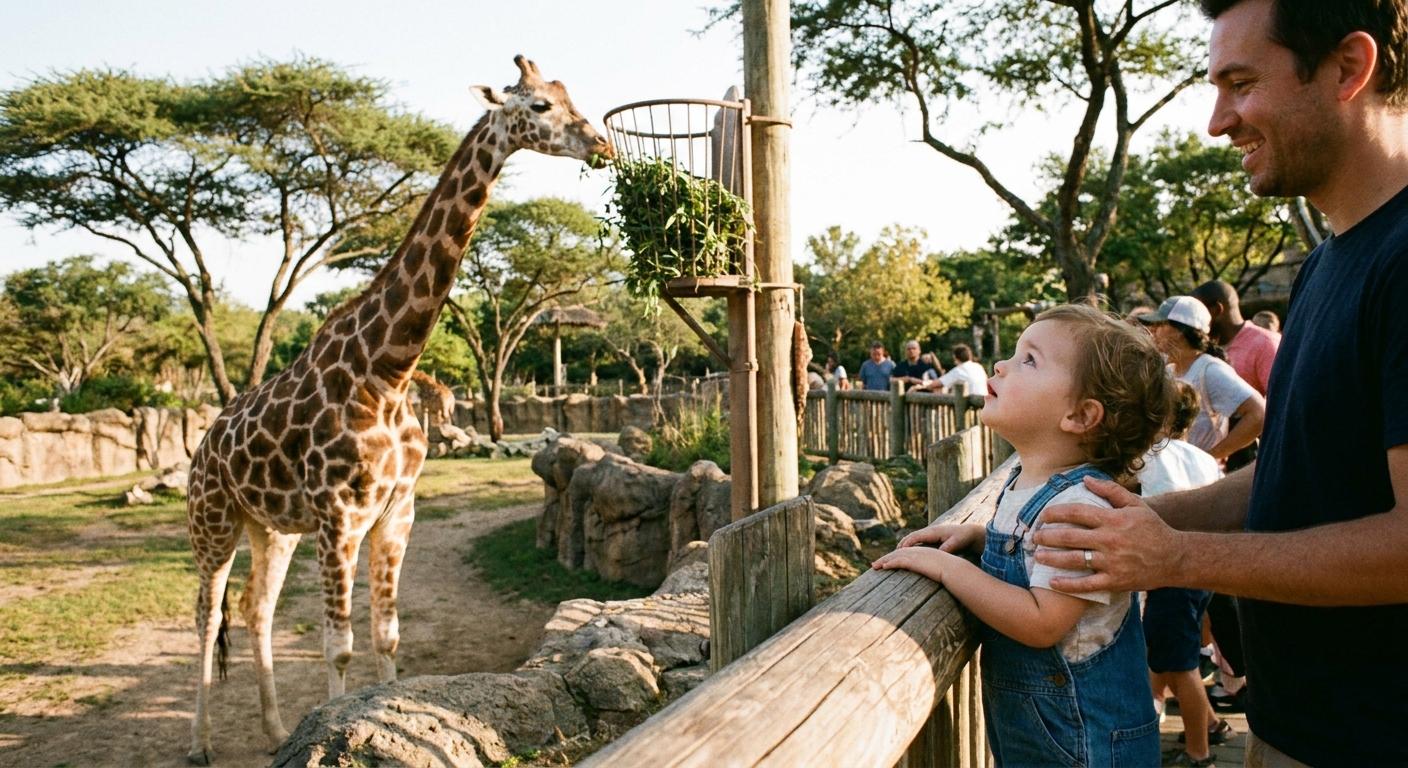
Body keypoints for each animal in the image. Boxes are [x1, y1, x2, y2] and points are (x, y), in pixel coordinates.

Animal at [184, 56, 612, 765]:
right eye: (539, 106)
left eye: (570, 94)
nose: (601, 143)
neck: (388, 370)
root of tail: (201, 445)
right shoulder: (338, 518)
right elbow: (339, 645)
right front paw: (330, 728)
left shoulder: (396, 511)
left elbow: (386, 636)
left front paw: (376, 719)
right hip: (211, 521)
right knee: (207, 612)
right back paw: (200, 744)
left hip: (272, 527)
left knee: (255, 609)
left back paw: (272, 732)